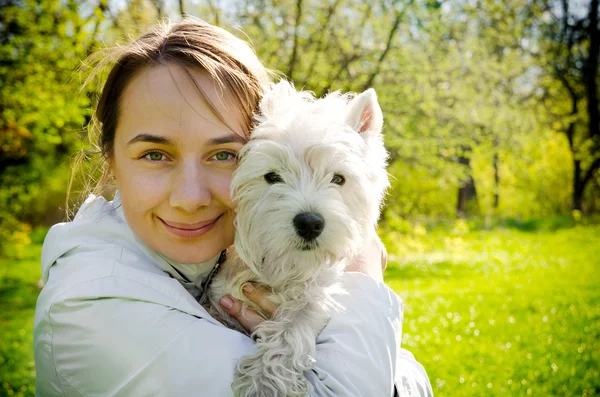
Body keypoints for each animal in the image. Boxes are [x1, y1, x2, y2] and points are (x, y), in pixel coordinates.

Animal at [204, 81, 390, 396]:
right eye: (272, 176)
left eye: (338, 178)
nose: (310, 223)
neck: (283, 267)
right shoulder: (221, 296)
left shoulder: (314, 296)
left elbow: (291, 330)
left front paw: (262, 381)